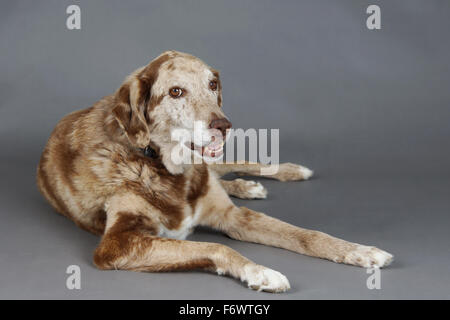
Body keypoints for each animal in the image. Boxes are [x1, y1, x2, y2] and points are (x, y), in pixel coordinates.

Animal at [37, 50, 392, 292]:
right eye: (176, 91)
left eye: (212, 84)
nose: (223, 125)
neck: (171, 171)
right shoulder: (117, 244)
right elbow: (216, 246)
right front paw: (260, 272)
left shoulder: (233, 216)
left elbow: (307, 235)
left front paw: (358, 251)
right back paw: (248, 186)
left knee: (228, 168)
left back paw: (282, 173)